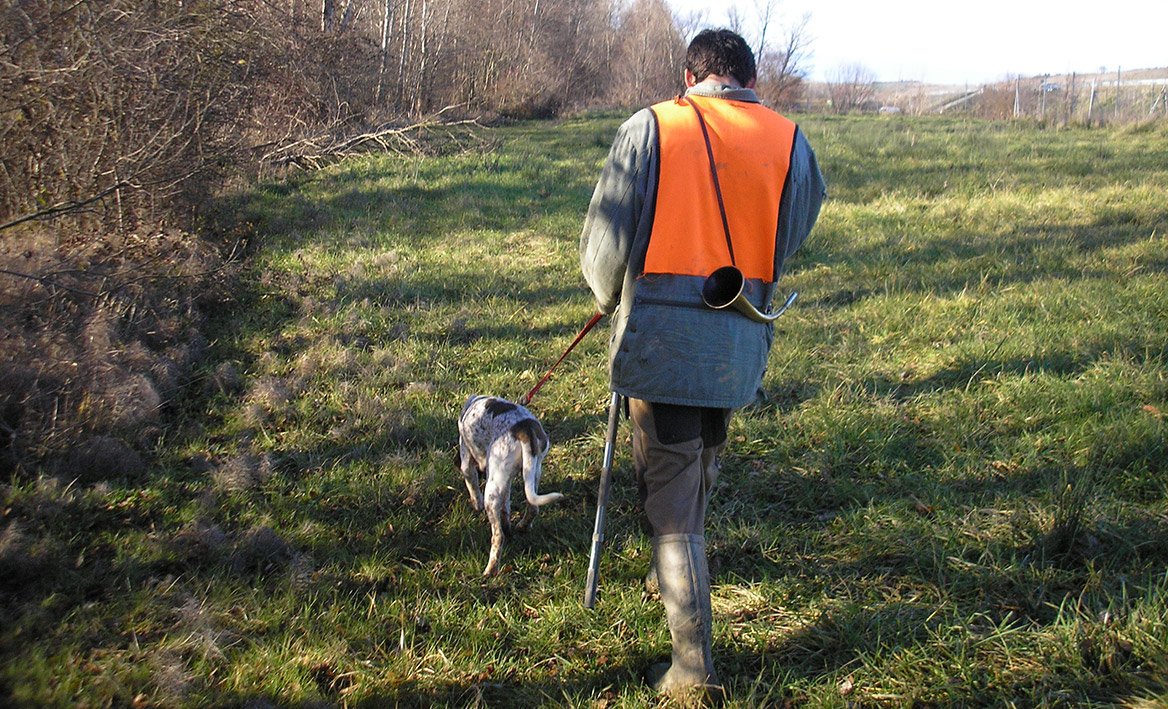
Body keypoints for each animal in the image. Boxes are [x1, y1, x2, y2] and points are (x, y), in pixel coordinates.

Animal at [455, 394, 565, 577]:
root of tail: (525, 429)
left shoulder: (467, 461)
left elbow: (473, 487)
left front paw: (476, 505)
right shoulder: (506, 480)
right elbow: (506, 508)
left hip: (491, 491)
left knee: (498, 536)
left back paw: (490, 570)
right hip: (532, 471)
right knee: (533, 508)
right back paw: (521, 527)